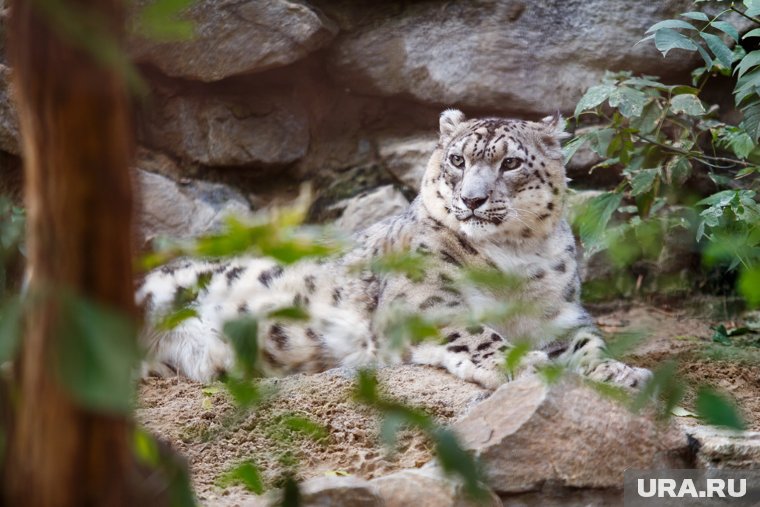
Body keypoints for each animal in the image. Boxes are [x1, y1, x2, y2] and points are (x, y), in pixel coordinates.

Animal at [135, 110, 648, 388]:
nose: (473, 199)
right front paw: (517, 362)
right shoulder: (424, 300)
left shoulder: (560, 318)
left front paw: (623, 374)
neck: (513, 260)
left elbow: (589, 347)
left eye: (511, 163)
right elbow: (475, 331)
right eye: (457, 160)